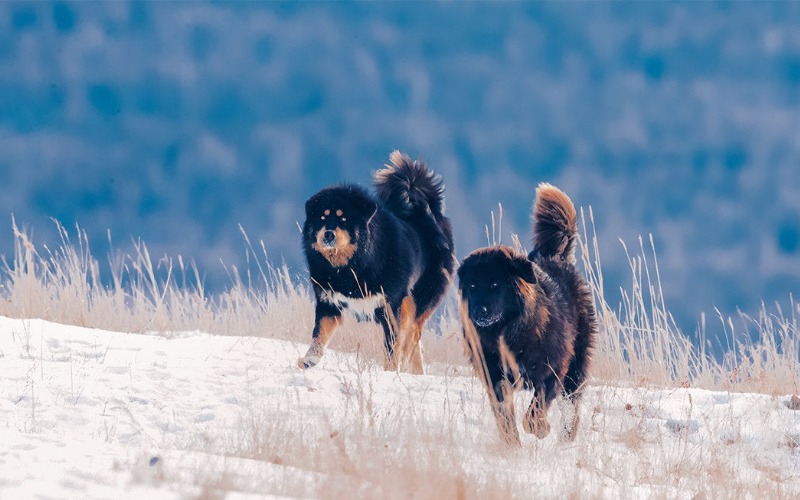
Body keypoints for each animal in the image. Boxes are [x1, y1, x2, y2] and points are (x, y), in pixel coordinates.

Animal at [296, 150, 456, 374]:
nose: (328, 234)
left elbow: (392, 347)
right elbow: (319, 334)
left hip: (416, 301)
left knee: (411, 337)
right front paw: (310, 359)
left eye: (344, 219)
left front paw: (389, 371)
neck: (350, 267)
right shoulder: (329, 302)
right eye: (322, 217)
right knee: (415, 344)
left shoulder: (390, 308)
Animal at [456, 184, 592, 446]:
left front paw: (541, 429)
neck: (506, 332)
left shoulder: (552, 370)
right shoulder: (494, 377)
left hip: (576, 368)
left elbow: (534, 411)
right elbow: (505, 417)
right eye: (473, 286)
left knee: (572, 408)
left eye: (495, 284)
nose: (479, 311)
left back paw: (565, 440)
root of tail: (555, 256)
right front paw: (512, 445)